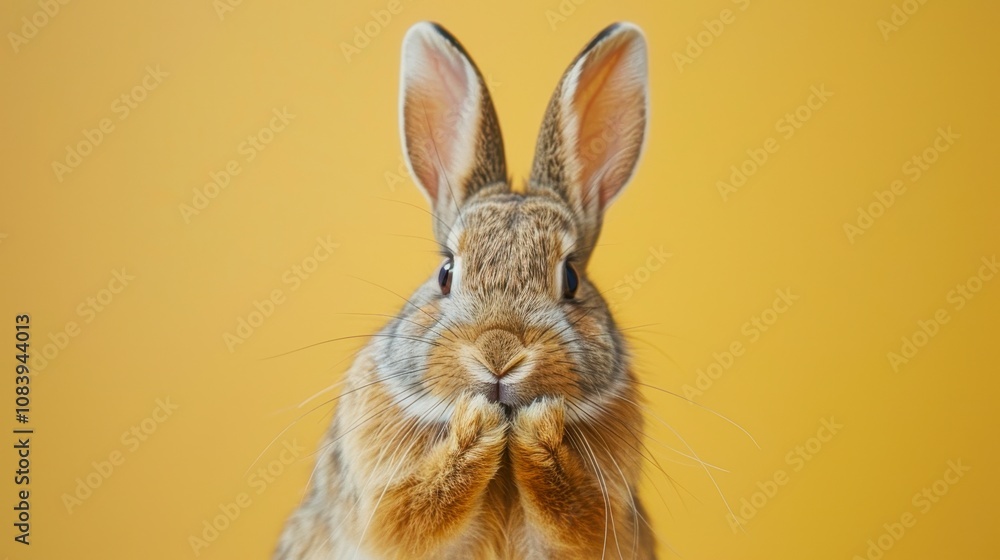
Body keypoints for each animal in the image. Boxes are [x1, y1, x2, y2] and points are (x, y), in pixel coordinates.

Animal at [276, 20, 652, 560]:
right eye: (446, 273)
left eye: (571, 278)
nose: (499, 354)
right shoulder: (379, 505)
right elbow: (408, 513)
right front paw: (477, 424)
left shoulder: (606, 521)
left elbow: (580, 516)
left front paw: (538, 428)